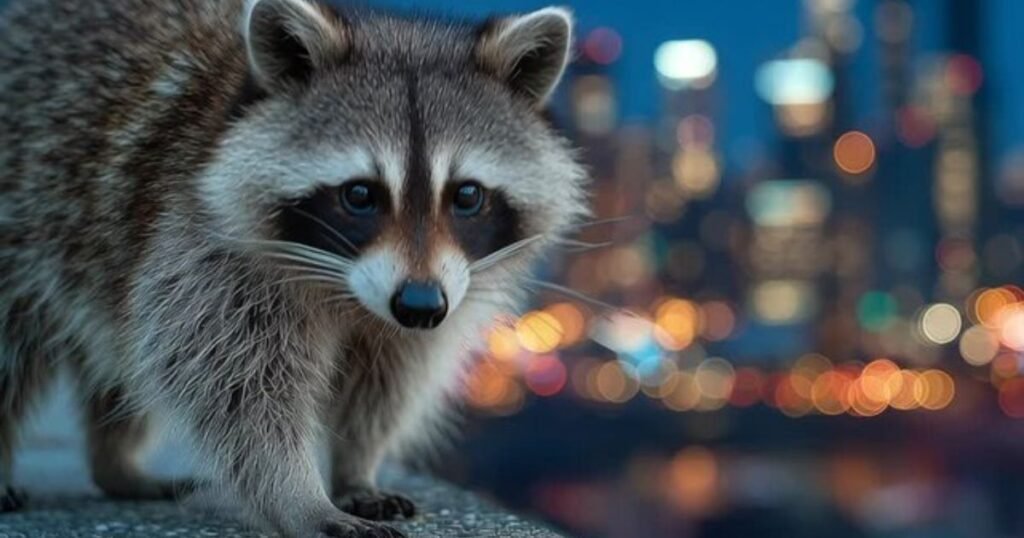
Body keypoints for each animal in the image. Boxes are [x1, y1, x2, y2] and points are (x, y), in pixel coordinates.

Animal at [0, 0, 587, 535]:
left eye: (467, 195)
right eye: (359, 195)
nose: (419, 306)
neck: (342, 284)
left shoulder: (441, 288)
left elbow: (386, 378)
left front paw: (356, 467)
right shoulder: (204, 254)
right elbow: (239, 390)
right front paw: (299, 495)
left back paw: (115, 464)